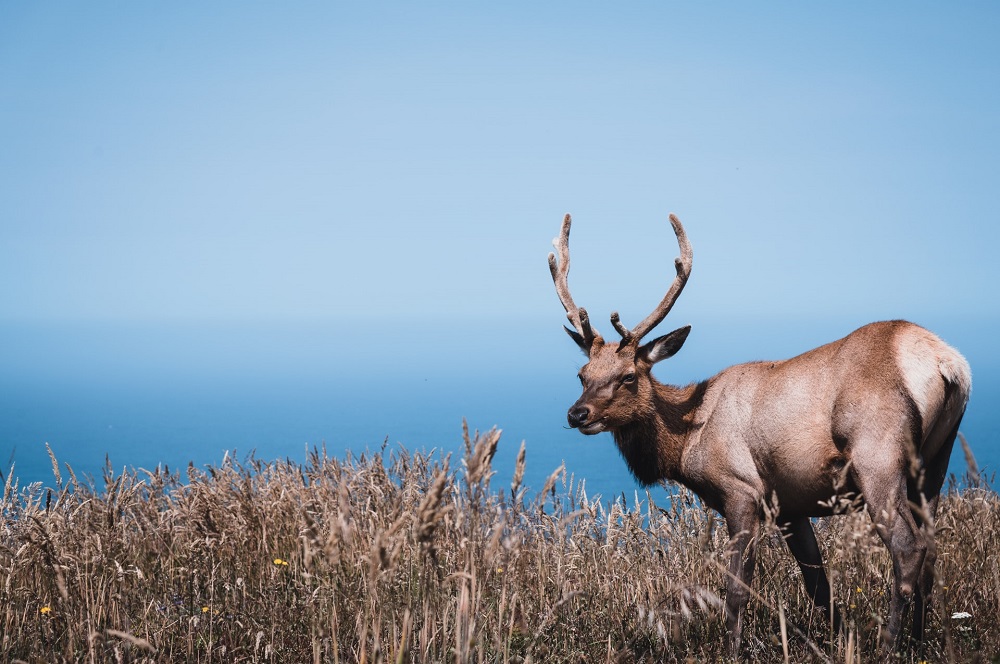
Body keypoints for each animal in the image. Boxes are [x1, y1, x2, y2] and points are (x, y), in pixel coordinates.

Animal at [548, 213, 968, 652]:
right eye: (582, 374)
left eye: (628, 375)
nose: (578, 413)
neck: (687, 439)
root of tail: (948, 363)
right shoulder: (789, 505)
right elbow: (818, 585)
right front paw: (837, 641)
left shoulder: (742, 489)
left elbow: (736, 589)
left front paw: (731, 650)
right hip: (936, 462)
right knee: (930, 553)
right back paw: (920, 642)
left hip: (877, 456)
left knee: (908, 549)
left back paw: (890, 645)